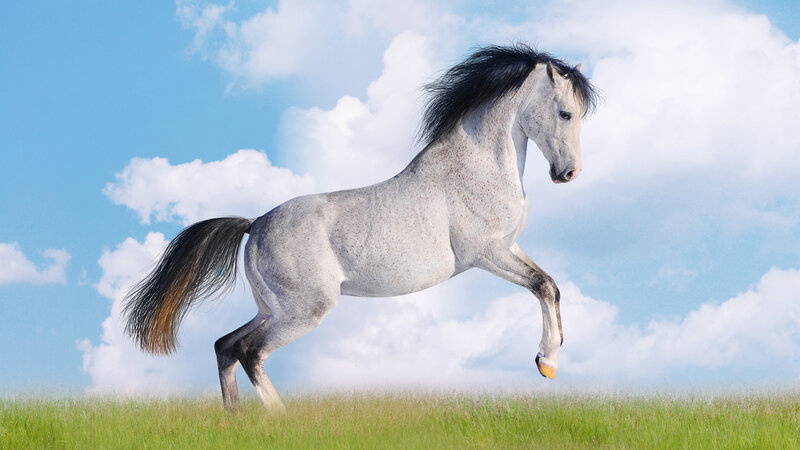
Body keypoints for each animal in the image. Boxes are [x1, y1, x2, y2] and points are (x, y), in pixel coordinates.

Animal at [123, 44, 599, 412]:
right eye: (565, 113)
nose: (568, 173)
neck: (478, 166)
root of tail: (255, 224)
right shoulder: (485, 253)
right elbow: (542, 286)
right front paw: (546, 362)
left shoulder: (509, 248)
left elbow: (551, 286)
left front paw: (549, 361)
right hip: (304, 310)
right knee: (249, 352)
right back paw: (280, 420)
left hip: (273, 307)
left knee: (225, 345)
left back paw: (236, 419)